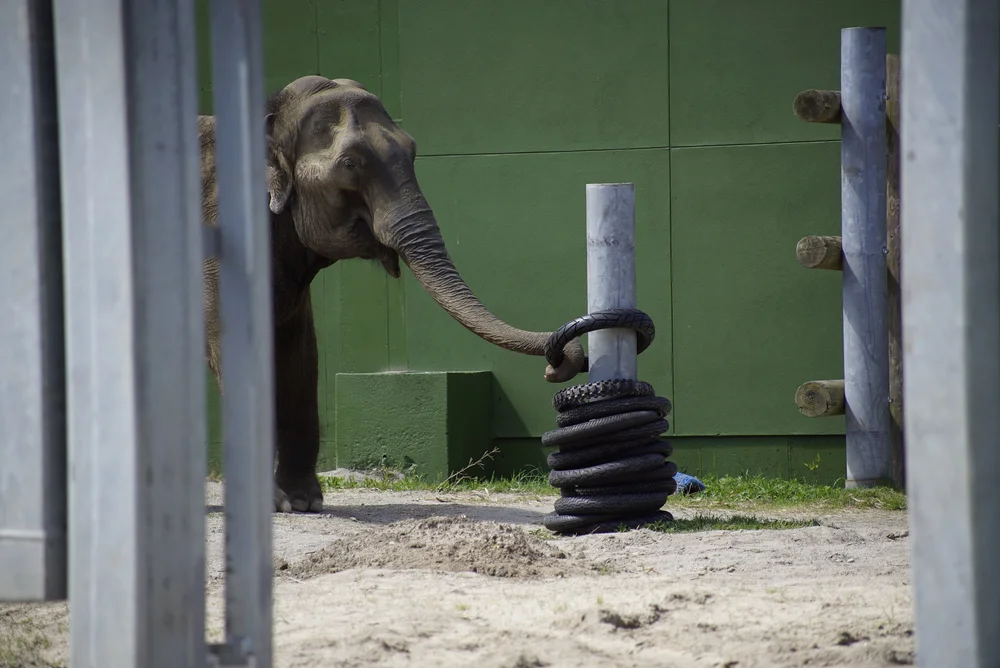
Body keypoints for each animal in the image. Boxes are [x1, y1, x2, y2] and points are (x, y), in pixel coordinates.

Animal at [199, 75, 586, 513]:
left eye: (413, 151)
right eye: (350, 164)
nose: (559, 362)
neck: (270, 115)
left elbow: (301, 355)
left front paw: (304, 504)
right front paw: (277, 506)